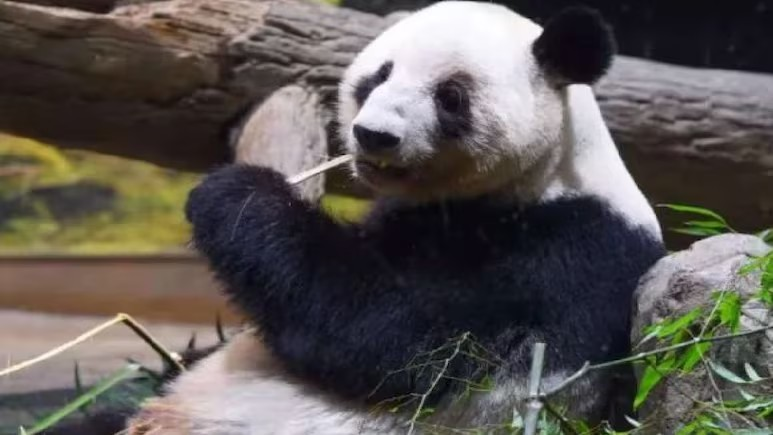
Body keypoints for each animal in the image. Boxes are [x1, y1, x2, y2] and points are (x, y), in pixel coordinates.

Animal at [122, 2, 665, 434]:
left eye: (451, 96)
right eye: (379, 76)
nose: (373, 135)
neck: (546, 176)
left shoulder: (565, 252)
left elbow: (399, 342)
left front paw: (236, 194)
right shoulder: (402, 218)